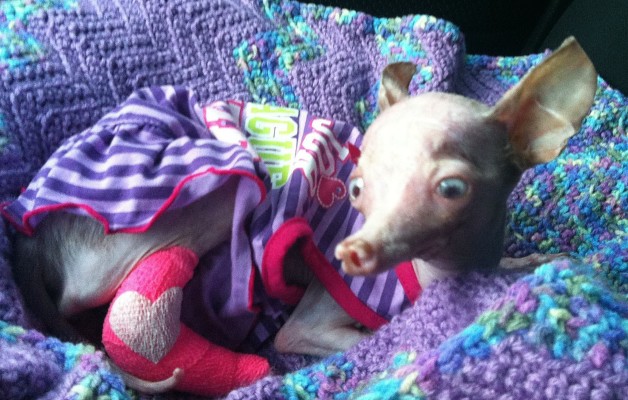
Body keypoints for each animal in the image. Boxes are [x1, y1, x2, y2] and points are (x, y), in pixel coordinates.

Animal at [4, 36, 592, 394]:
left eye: (451, 189)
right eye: (356, 189)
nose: (355, 251)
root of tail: (25, 227)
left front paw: (526, 262)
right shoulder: (319, 316)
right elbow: (362, 337)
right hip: (212, 190)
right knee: (84, 298)